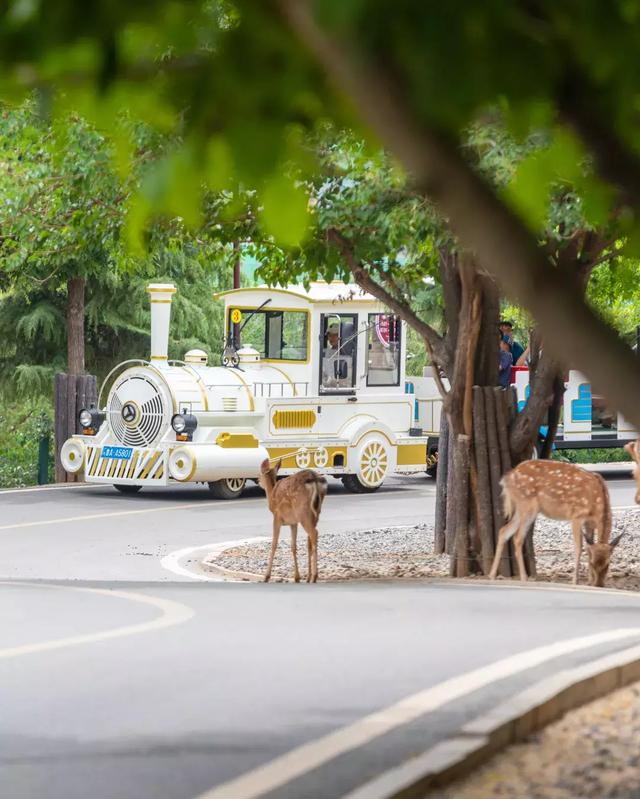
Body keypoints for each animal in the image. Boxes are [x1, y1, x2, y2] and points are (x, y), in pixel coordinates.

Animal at [488, 460, 624, 584]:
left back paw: (492, 575)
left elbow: (588, 547)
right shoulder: (577, 515)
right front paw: (575, 581)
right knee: (517, 537)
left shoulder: (589, 523)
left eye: (608, 563)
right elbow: (578, 547)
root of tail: (508, 477)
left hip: (521, 507)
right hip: (527, 505)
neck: (597, 503)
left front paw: (588, 581)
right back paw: (523, 578)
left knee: (504, 531)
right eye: (592, 563)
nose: (599, 585)